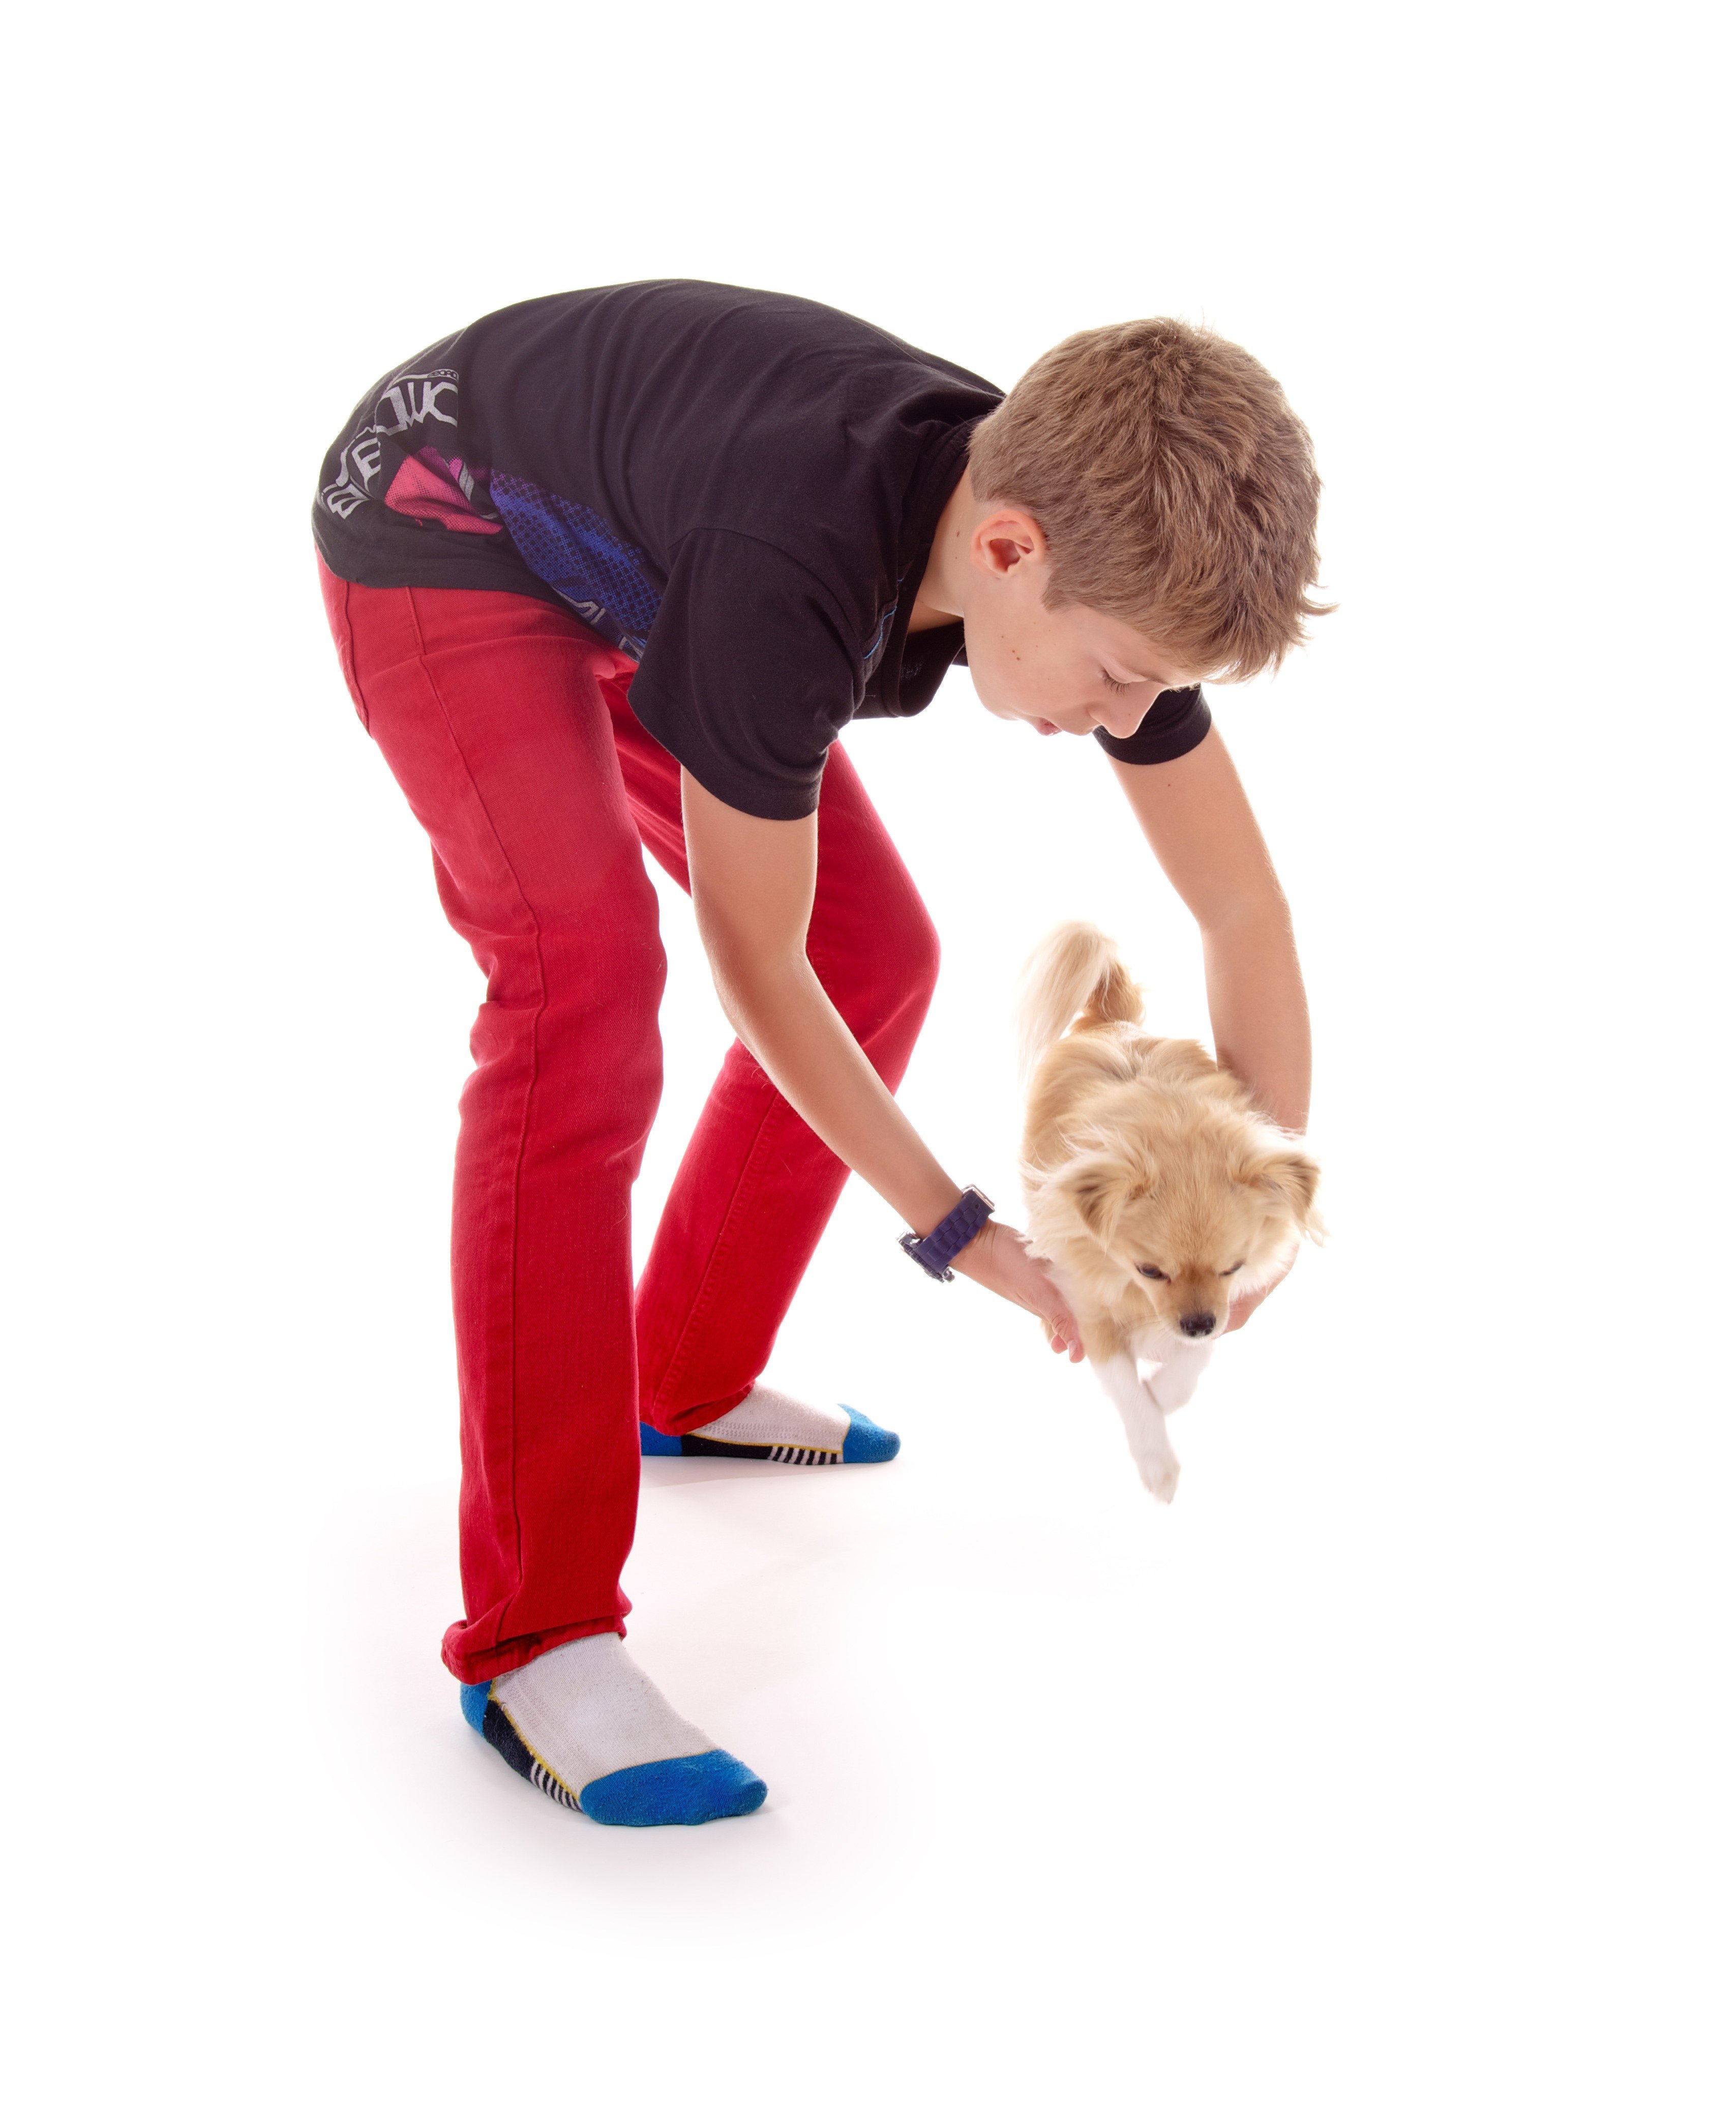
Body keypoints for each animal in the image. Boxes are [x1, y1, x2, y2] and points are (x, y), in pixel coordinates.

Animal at [1016, 922, 1322, 1502]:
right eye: (1150, 1271)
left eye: (1233, 1267)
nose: (1197, 1323)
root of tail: (1114, 1021)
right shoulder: (1088, 1296)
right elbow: (1124, 1384)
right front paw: (1157, 1460)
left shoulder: (1227, 1305)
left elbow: (1188, 1365)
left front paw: (1165, 1388)